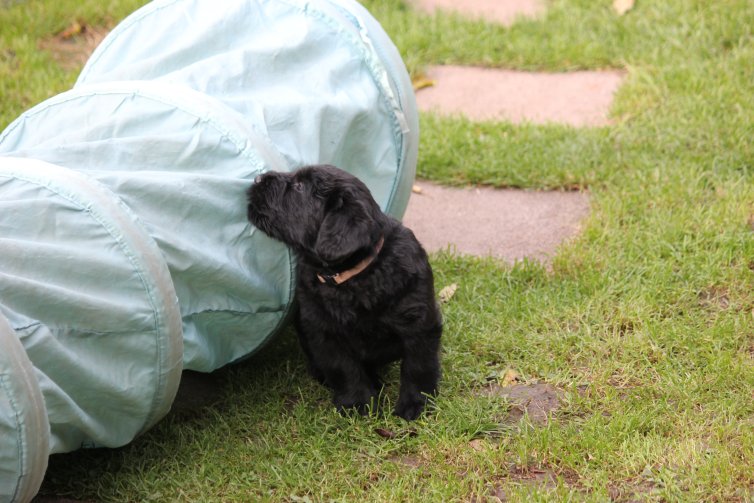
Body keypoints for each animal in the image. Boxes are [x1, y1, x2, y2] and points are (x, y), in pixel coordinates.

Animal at [247, 165, 440, 422]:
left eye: (299, 186)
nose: (257, 178)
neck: (352, 276)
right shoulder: (323, 330)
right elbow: (344, 368)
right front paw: (357, 404)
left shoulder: (419, 323)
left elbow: (418, 365)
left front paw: (416, 403)